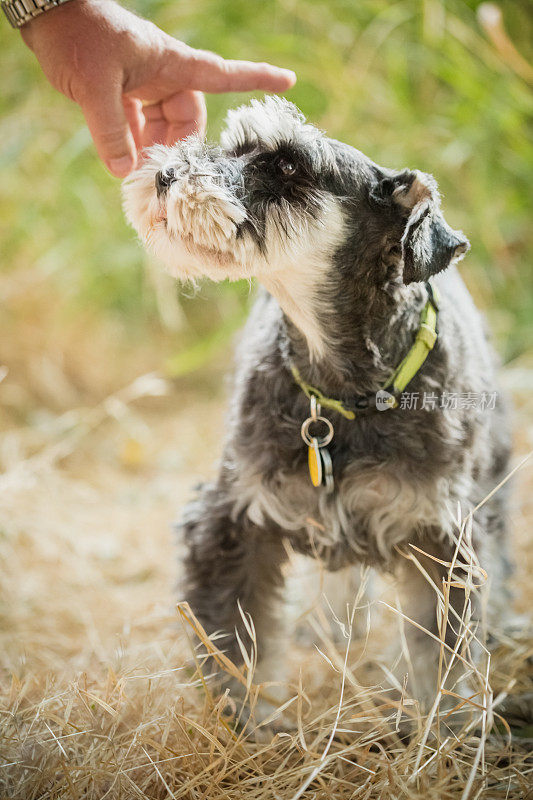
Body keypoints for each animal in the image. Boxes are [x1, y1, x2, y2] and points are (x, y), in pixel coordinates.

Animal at [123, 97, 512, 716]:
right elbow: (236, 646)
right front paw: (247, 723)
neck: (343, 392)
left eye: (287, 166)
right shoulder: (232, 523)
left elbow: (440, 660)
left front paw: (440, 726)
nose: (164, 175)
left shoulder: (440, 538)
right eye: (234, 145)